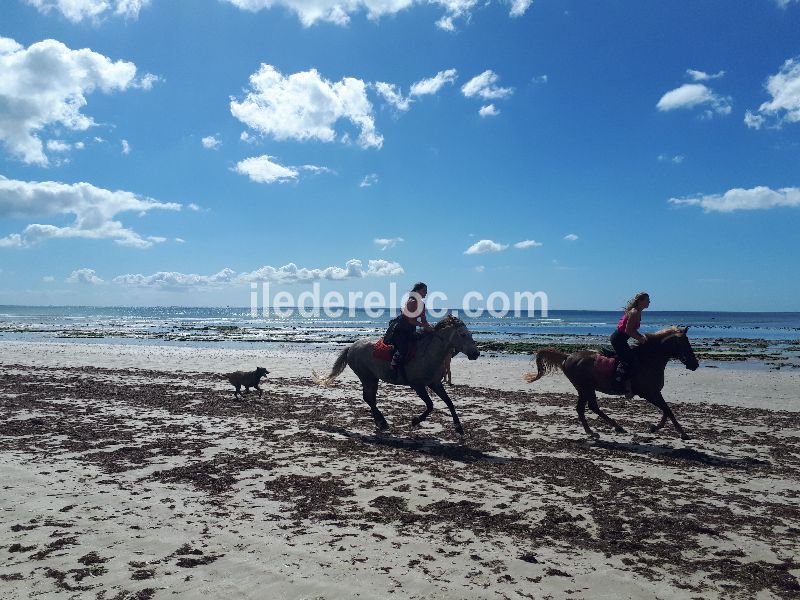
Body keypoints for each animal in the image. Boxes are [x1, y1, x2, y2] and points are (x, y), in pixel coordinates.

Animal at [312, 314, 478, 436]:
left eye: (470, 334)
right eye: (463, 334)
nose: (476, 354)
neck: (428, 352)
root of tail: (351, 347)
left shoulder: (435, 383)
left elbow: (449, 402)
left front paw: (458, 427)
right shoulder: (418, 386)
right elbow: (430, 405)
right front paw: (415, 421)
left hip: (373, 378)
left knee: (370, 398)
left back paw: (380, 422)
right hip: (367, 377)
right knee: (368, 398)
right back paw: (382, 422)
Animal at [520, 326, 696, 438]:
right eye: (685, 343)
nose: (695, 364)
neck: (648, 359)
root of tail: (567, 357)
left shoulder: (654, 392)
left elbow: (666, 410)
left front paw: (654, 427)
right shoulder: (649, 392)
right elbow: (668, 410)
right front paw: (682, 433)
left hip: (584, 388)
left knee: (586, 408)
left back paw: (603, 429)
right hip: (585, 387)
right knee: (589, 407)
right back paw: (606, 428)